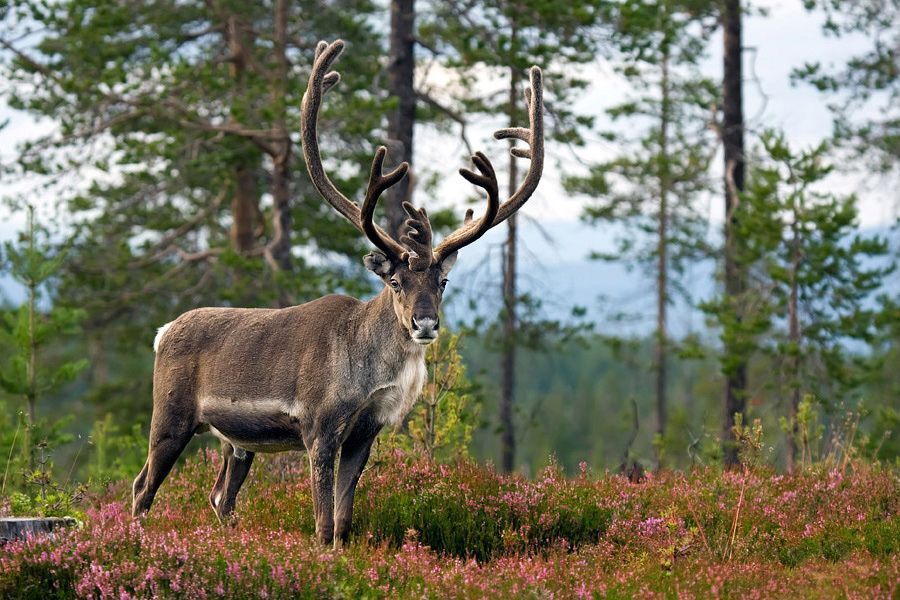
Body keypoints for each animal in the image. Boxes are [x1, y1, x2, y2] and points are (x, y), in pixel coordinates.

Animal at [131, 39, 544, 549]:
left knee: (219, 497)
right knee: (143, 486)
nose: (425, 323)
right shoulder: (319, 427)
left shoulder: (366, 432)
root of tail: (162, 331)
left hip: (236, 444)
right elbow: (323, 521)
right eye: (395, 282)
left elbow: (344, 520)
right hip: (171, 416)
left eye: (442, 282)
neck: (370, 371)